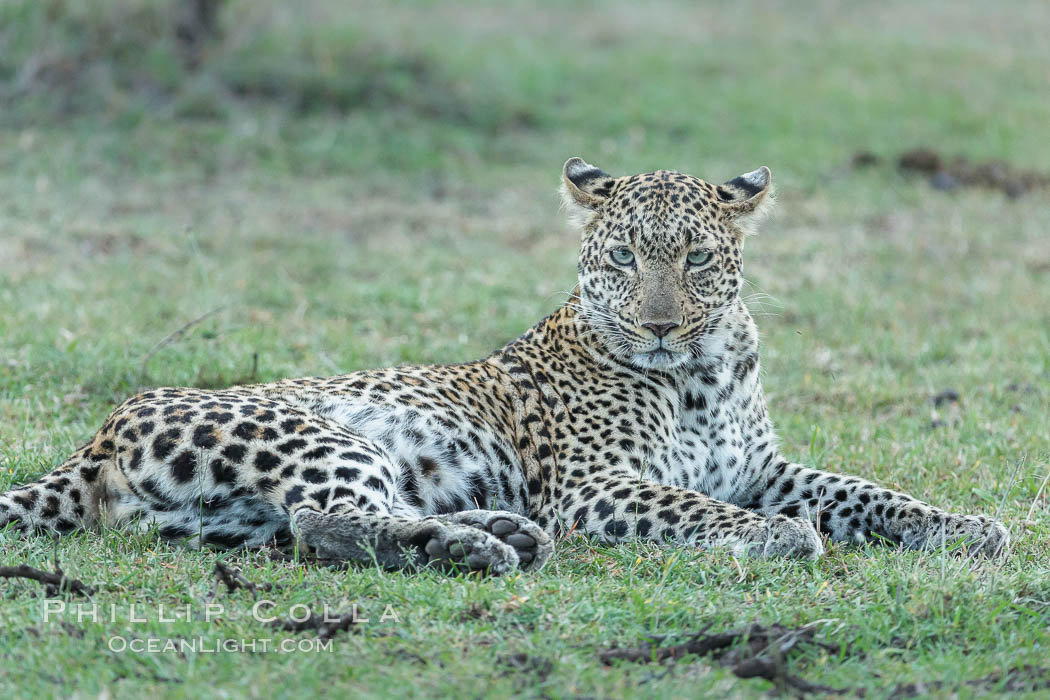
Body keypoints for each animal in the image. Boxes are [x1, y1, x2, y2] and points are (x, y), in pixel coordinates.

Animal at [0, 158, 1007, 575]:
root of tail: (98, 434)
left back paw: (488, 535)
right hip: (323, 438)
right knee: (329, 521)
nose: (661, 326)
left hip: (222, 522)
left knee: (309, 529)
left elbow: (863, 488)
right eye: (623, 257)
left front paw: (967, 527)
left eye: (695, 259)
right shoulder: (599, 488)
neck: (705, 374)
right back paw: (482, 545)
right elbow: (704, 511)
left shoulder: (764, 468)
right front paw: (780, 538)